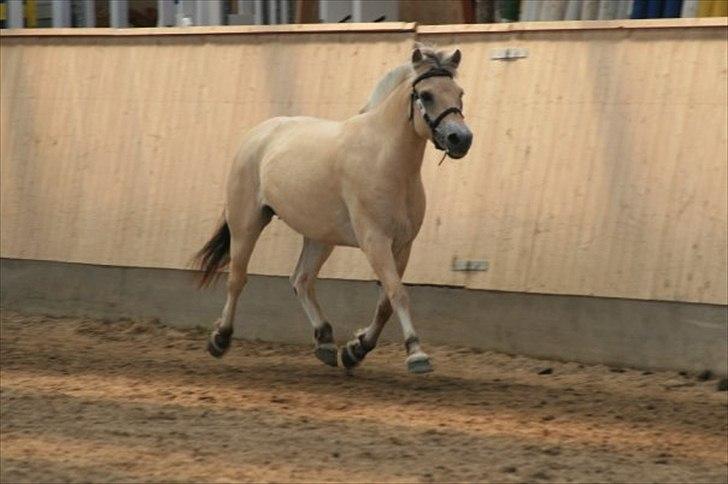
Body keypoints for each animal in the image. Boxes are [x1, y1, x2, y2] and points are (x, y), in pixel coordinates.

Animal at [196, 43, 474, 372]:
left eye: (459, 93)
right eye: (427, 95)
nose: (461, 139)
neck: (386, 160)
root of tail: (259, 134)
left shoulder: (403, 244)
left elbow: (385, 302)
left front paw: (356, 349)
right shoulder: (375, 240)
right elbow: (398, 293)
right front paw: (416, 354)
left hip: (319, 237)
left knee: (301, 281)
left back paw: (326, 342)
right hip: (247, 223)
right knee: (237, 278)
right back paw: (220, 339)